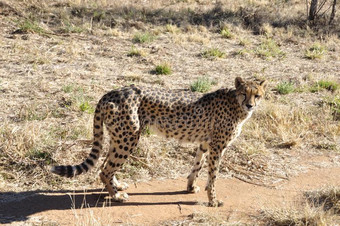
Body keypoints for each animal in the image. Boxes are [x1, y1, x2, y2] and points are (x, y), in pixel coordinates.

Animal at [51, 77, 266, 207]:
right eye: (244, 93)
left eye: (257, 95)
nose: (250, 105)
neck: (236, 104)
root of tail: (113, 91)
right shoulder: (217, 147)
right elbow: (212, 176)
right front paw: (213, 201)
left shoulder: (205, 143)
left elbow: (197, 166)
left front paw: (190, 187)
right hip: (129, 137)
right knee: (105, 169)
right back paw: (117, 196)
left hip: (119, 136)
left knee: (105, 165)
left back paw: (118, 187)